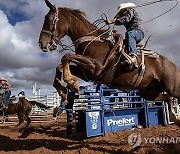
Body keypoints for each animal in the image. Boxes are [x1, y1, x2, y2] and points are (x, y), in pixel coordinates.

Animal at [38, 0, 180, 124]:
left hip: (172, 88)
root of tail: (172, 64)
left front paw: (72, 83)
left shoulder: (96, 67)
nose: (41, 43)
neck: (92, 39)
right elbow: (60, 66)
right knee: (167, 98)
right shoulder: (86, 73)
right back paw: (174, 116)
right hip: (148, 92)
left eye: (48, 18)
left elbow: (66, 56)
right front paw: (63, 90)